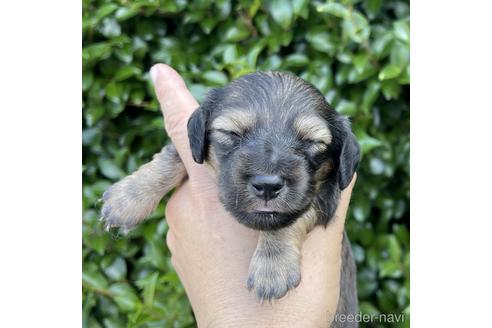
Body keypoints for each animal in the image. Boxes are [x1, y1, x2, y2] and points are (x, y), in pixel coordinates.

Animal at [102, 71, 360, 326]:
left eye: (312, 143)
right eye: (232, 133)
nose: (267, 186)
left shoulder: (327, 197)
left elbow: (287, 220)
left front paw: (271, 267)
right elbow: (173, 155)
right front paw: (128, 197)